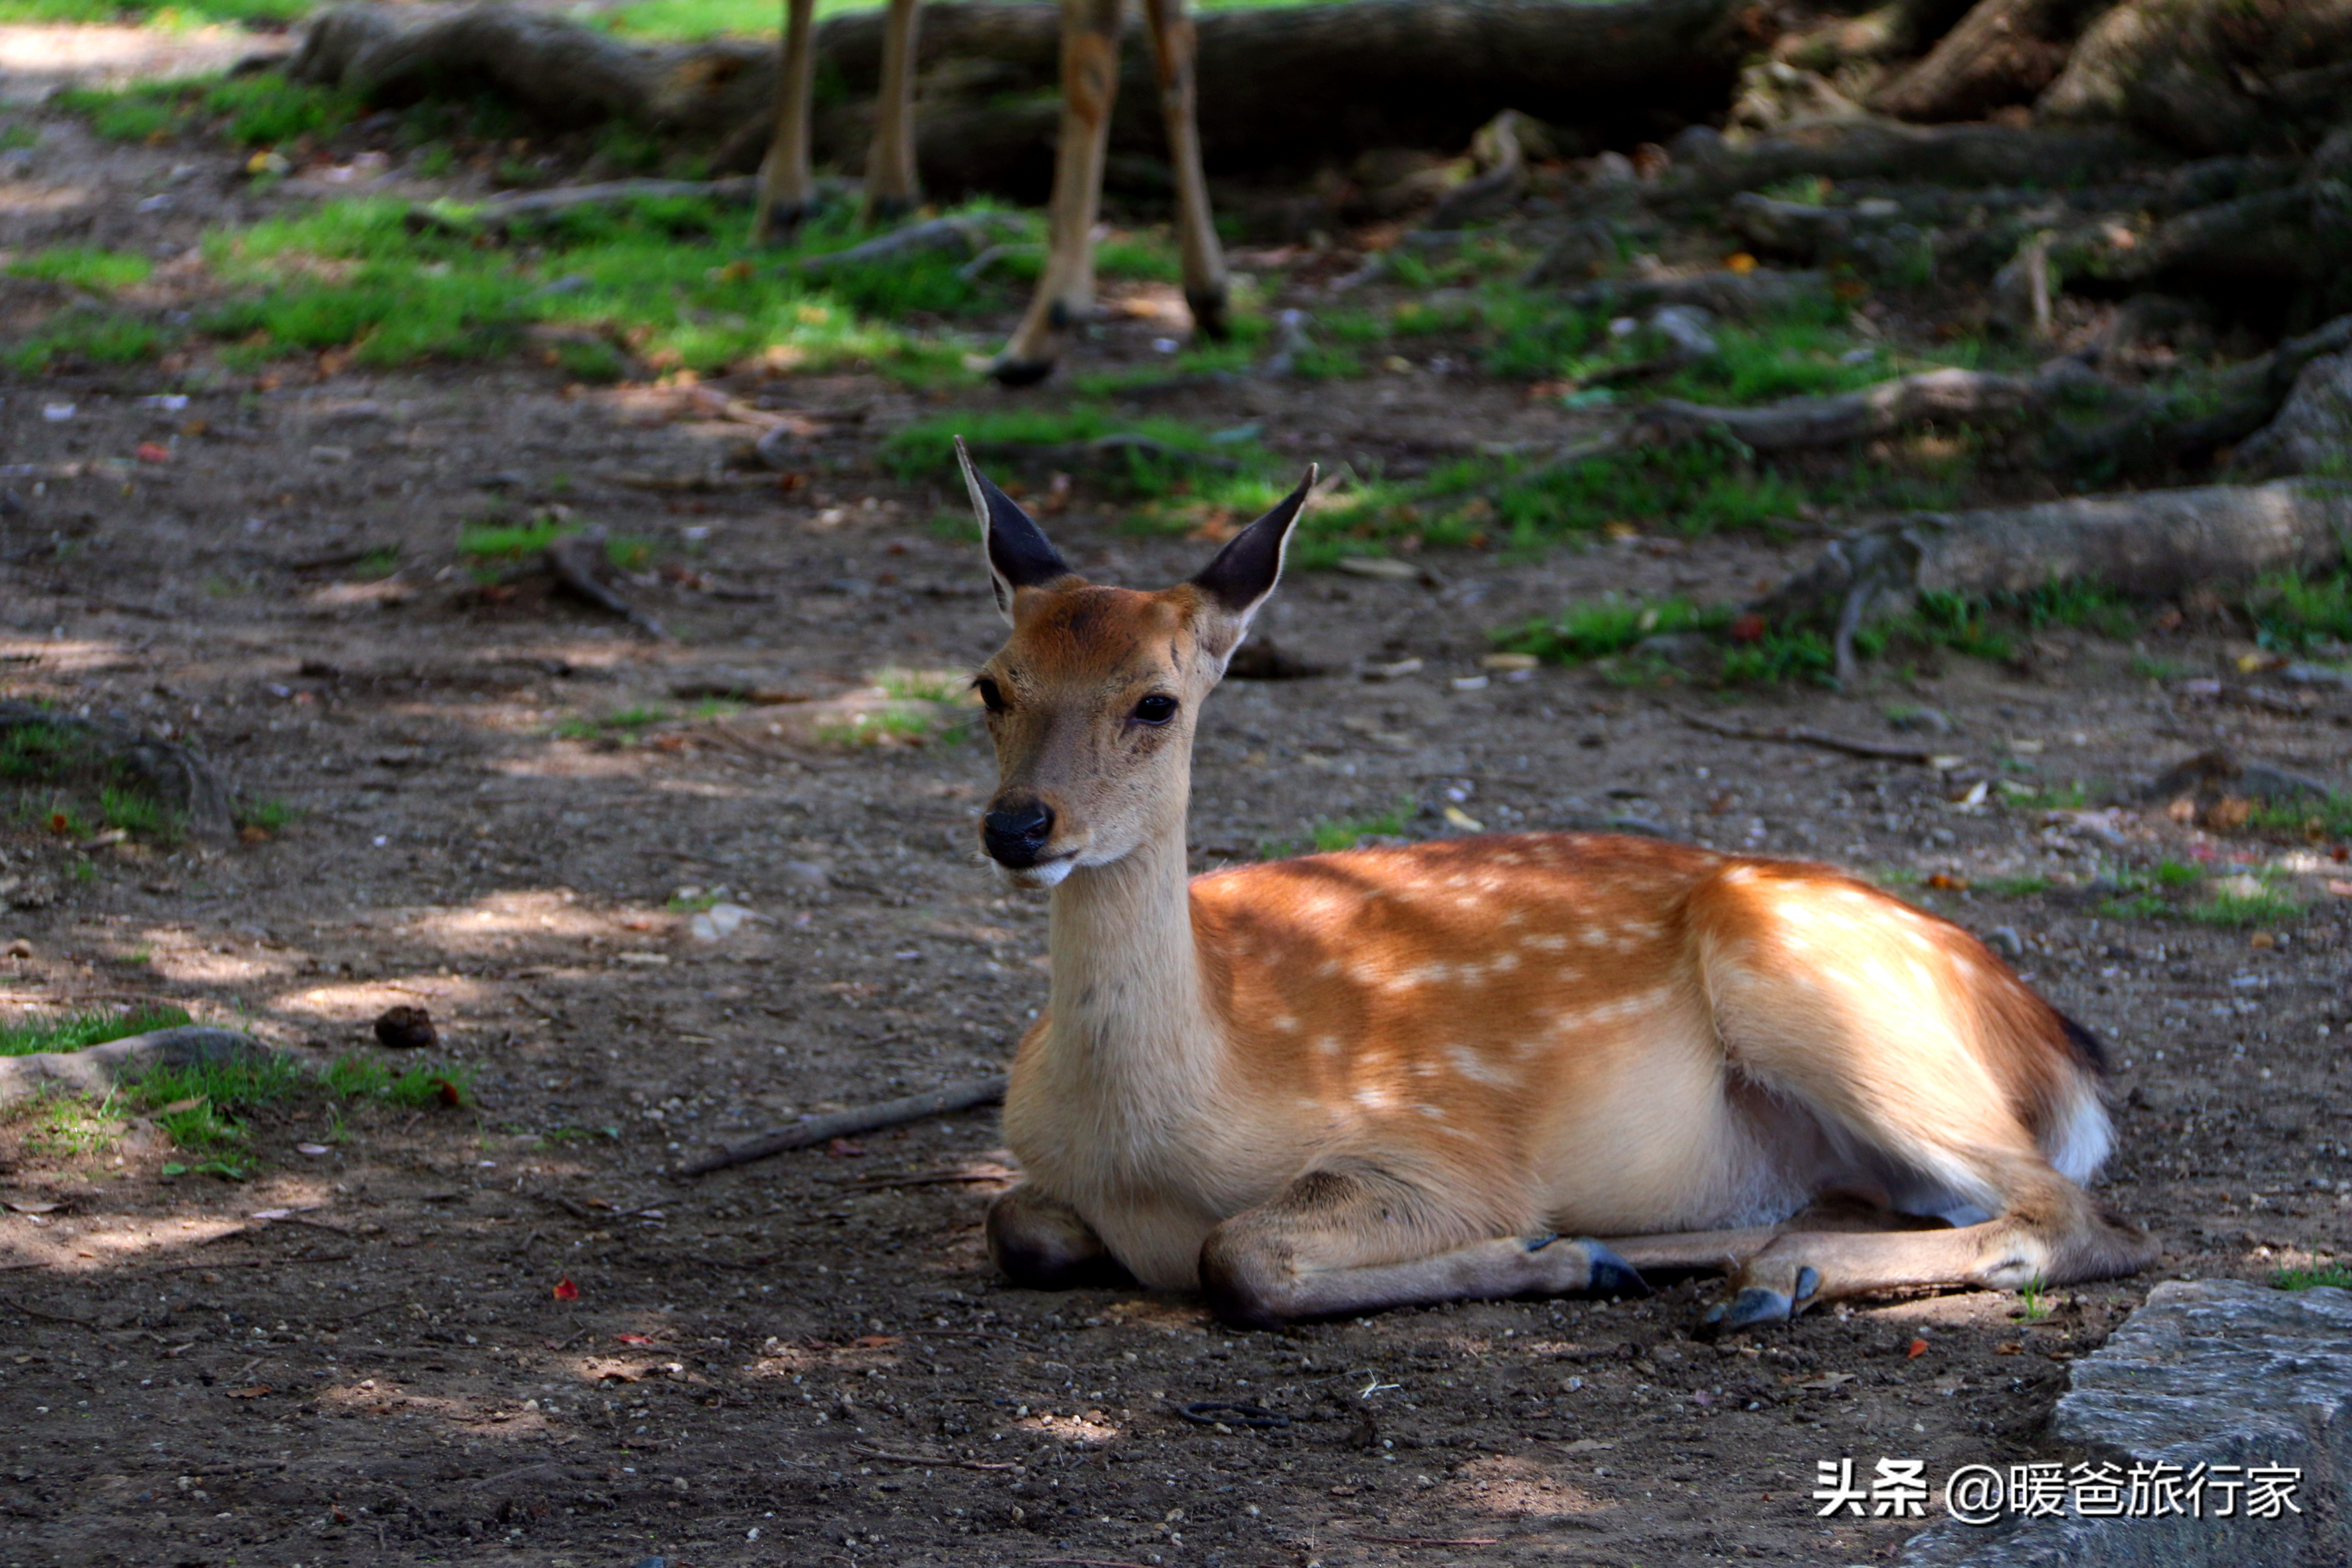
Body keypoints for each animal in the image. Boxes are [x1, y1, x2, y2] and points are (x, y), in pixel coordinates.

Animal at [754, 0, 1226, 386]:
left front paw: (783, 205)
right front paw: (888, 196)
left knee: (1094, 50)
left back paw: (1042, 330)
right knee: (1179, 44)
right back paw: (1209, 294)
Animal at [955, 438, 2158, 1330]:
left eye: (1155, 702)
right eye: (991, 686)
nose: (1018, 825)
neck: (1153, 1145)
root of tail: (2059, 1049)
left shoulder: (1439, 1145)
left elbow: (1238, 1255)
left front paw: (1549, 1251)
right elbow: (1018, 1226)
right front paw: (1576, 1252)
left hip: (1823, 986)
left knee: (2082, 1219)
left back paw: (1757, 1273)